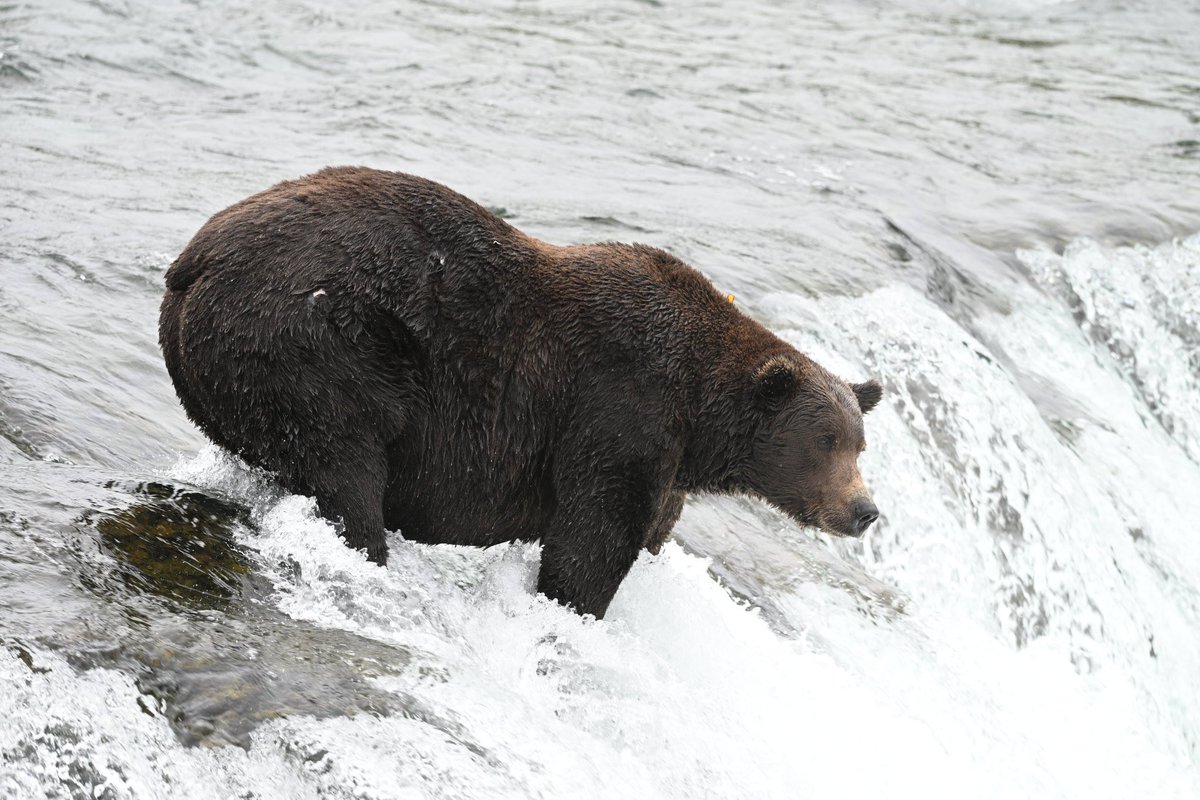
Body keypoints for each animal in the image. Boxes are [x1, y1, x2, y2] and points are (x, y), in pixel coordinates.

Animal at [159, 167, 881, 619]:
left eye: (859, 444)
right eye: (825, 441)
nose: (864, 510)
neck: (702, 418)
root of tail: (193, 260)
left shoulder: (666, 458)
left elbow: (648, 529)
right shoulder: (621, 409)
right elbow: (592, 540)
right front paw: (572, 608)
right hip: (317, 344)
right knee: (346, 465)